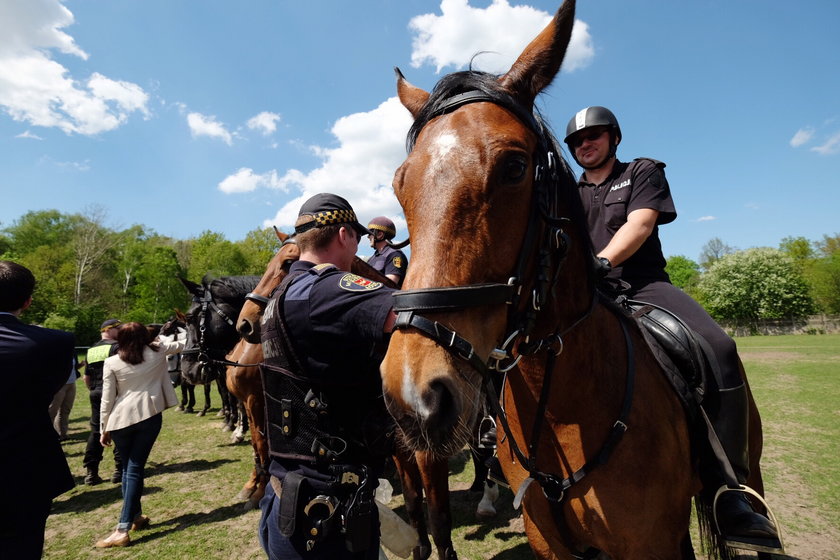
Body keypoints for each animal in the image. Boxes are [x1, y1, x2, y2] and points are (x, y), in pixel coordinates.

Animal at [378, 1, 776, 560]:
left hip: (750, 473)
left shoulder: (651, 543)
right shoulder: (548, 540)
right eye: (400, 183)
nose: (415, 401)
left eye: (515, 166)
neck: (564, 411)